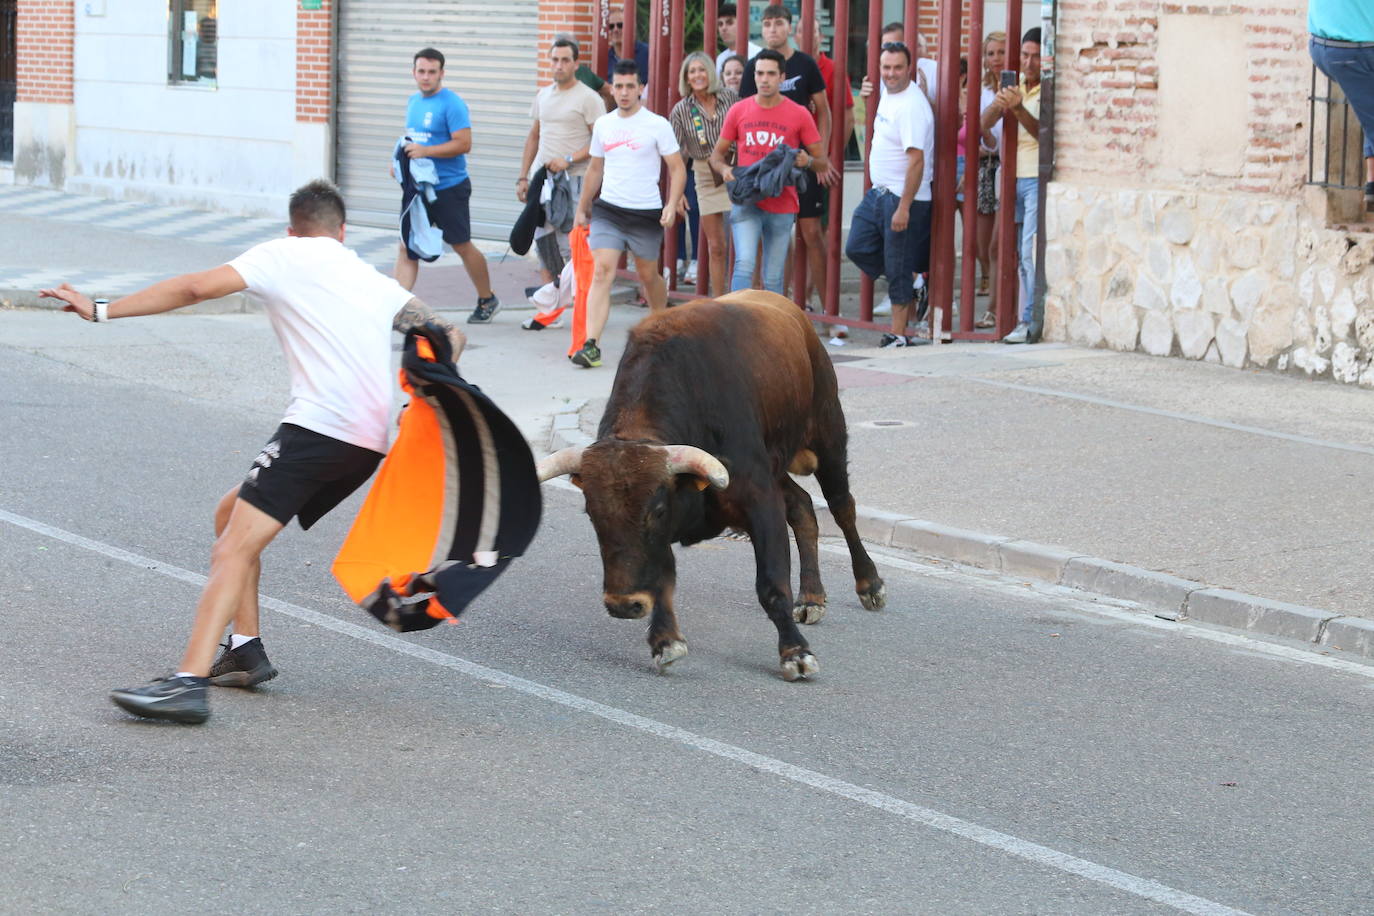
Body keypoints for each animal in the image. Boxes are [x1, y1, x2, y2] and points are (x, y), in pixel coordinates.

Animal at [535, 292, 879, 681]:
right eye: (592, 513)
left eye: (656, 510)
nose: (624, 605)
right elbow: (662, 576)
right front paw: (665, 640)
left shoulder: (760, 501)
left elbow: (772, 584)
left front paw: (795, 652)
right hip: (779, 468)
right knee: (803, 506)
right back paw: (811, 597)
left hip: (828, 435)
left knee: (842, 506)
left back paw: (869, 585)